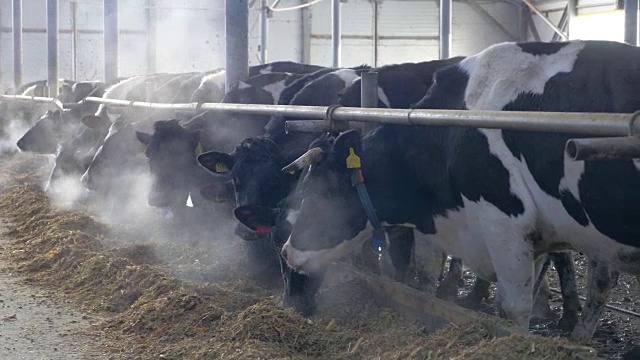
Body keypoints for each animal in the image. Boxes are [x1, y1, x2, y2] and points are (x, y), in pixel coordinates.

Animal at [280, 40, 640, 344]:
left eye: (318, 193)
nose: (286, 252)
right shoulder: (536, 235)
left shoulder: (503, 222)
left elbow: (512, 307)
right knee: (601, 282)